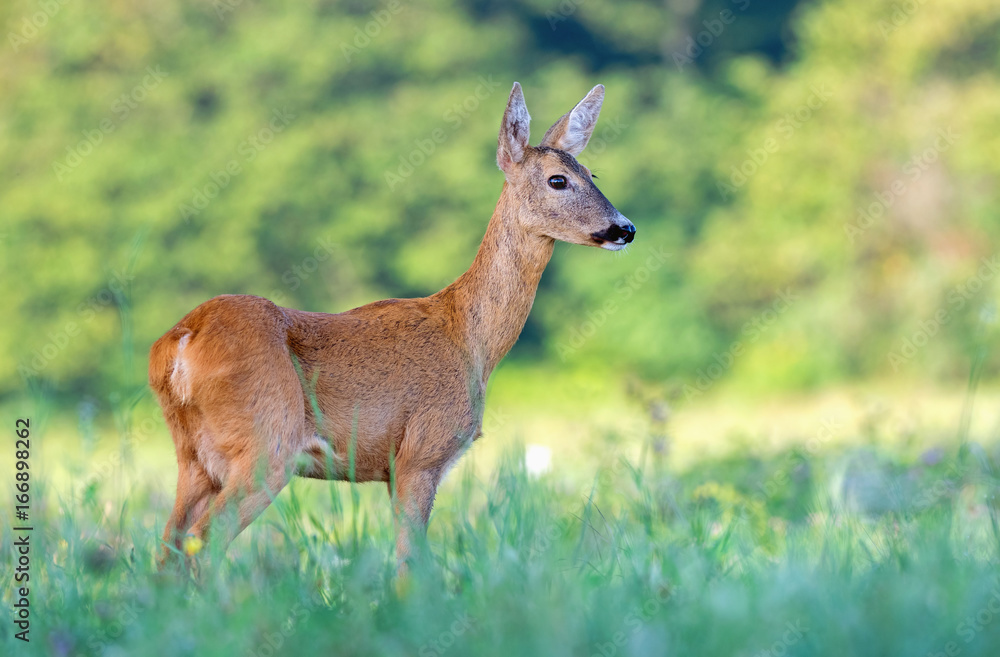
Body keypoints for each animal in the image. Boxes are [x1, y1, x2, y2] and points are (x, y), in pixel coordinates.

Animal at [149, 82, 636, 570]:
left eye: (593, 173)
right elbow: (410, 565)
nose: (625, 228)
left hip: (193, 457)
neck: (469, 337)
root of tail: (180, 341)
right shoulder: (421, 455)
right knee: (201, 541)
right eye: (558, 179)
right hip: (267, 444)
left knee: (168, 546)